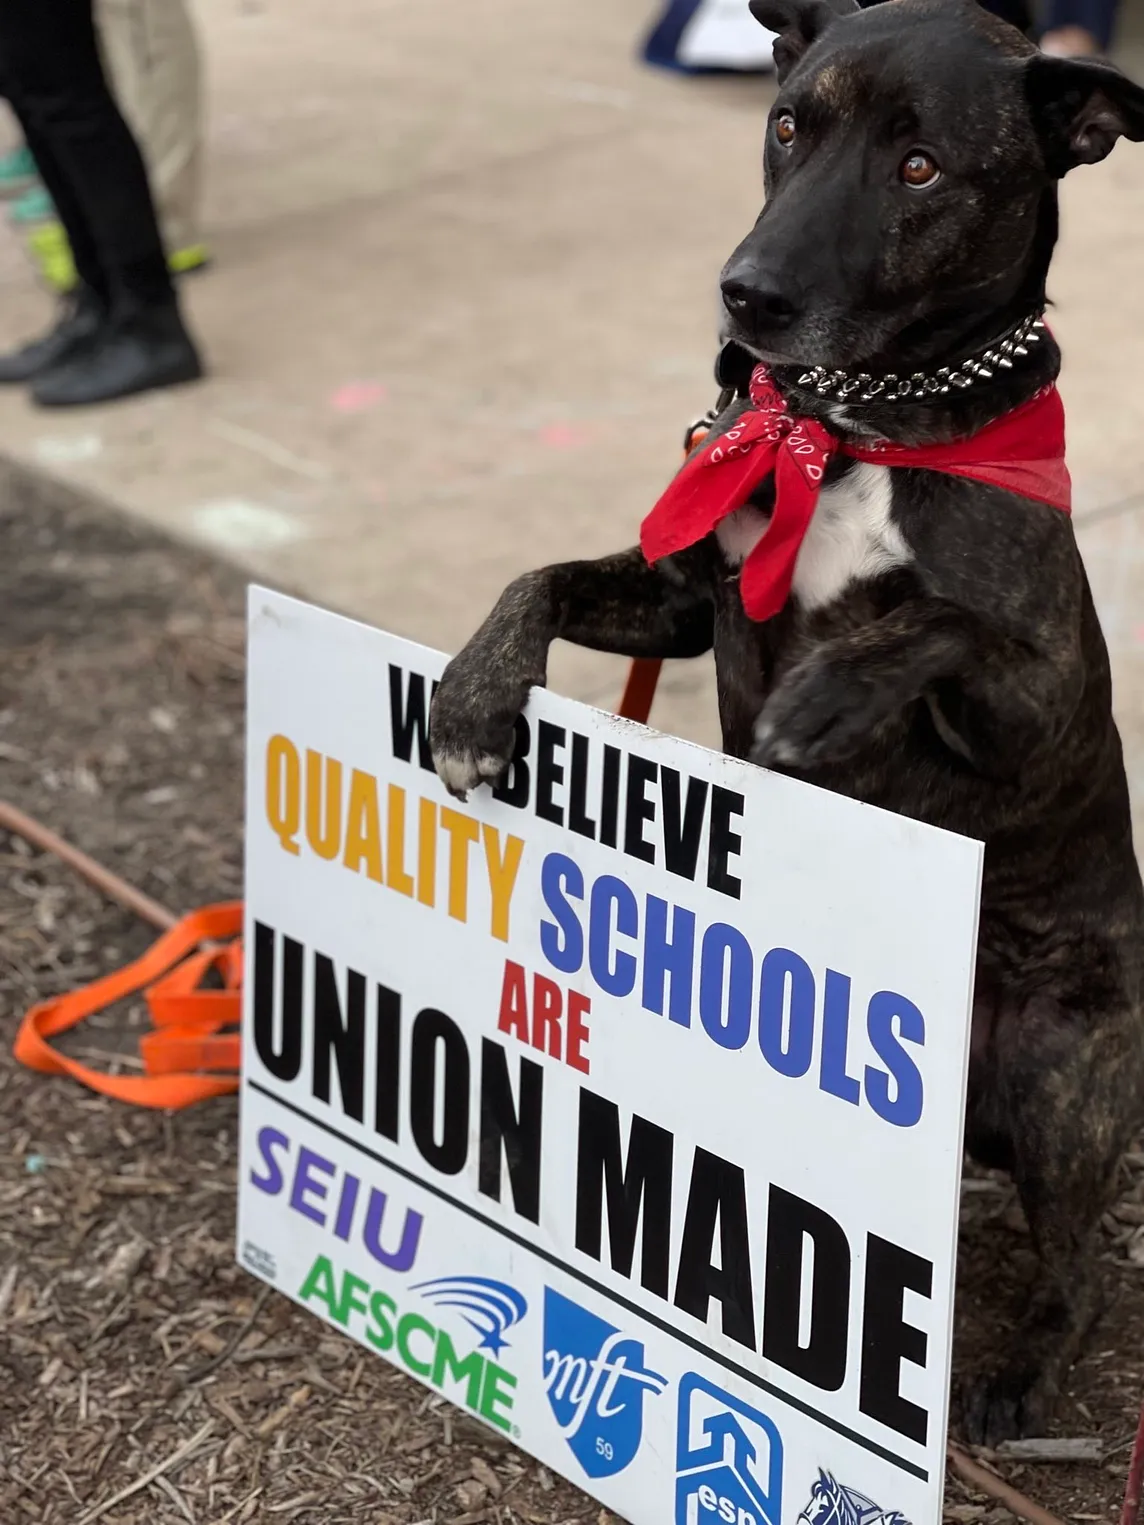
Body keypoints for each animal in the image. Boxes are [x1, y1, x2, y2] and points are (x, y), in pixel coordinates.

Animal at [427, 0, 1144, 1439]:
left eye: (921, 166)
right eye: (786, 124)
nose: (746, 295)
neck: (855, 431)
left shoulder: (1042, 705)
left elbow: (939, 621)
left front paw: (832, 687)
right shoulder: (681, 597)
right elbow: (541, 576)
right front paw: (476, 691)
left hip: (1062, 1069)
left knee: (1081, 1270)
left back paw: (1021, 1374)